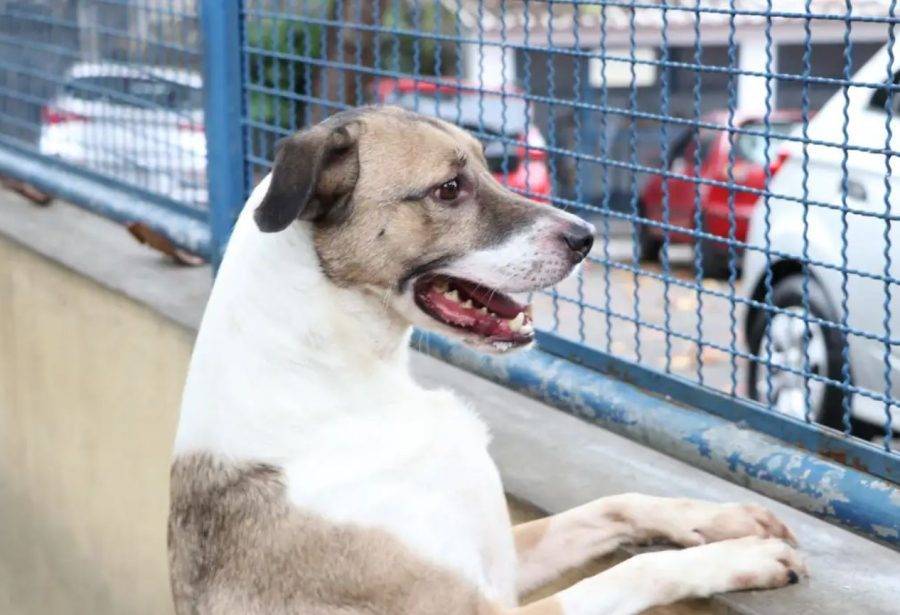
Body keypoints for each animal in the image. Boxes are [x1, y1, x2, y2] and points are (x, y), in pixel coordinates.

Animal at [167, 107, 800, 615]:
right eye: (449, 188)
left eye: (489, 168)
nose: (588, 238)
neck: (345, 384)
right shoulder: (486, 608)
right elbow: (635, 569)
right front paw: (742, 558)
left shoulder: (506, 559)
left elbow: (612, 505)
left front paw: (718, 522)